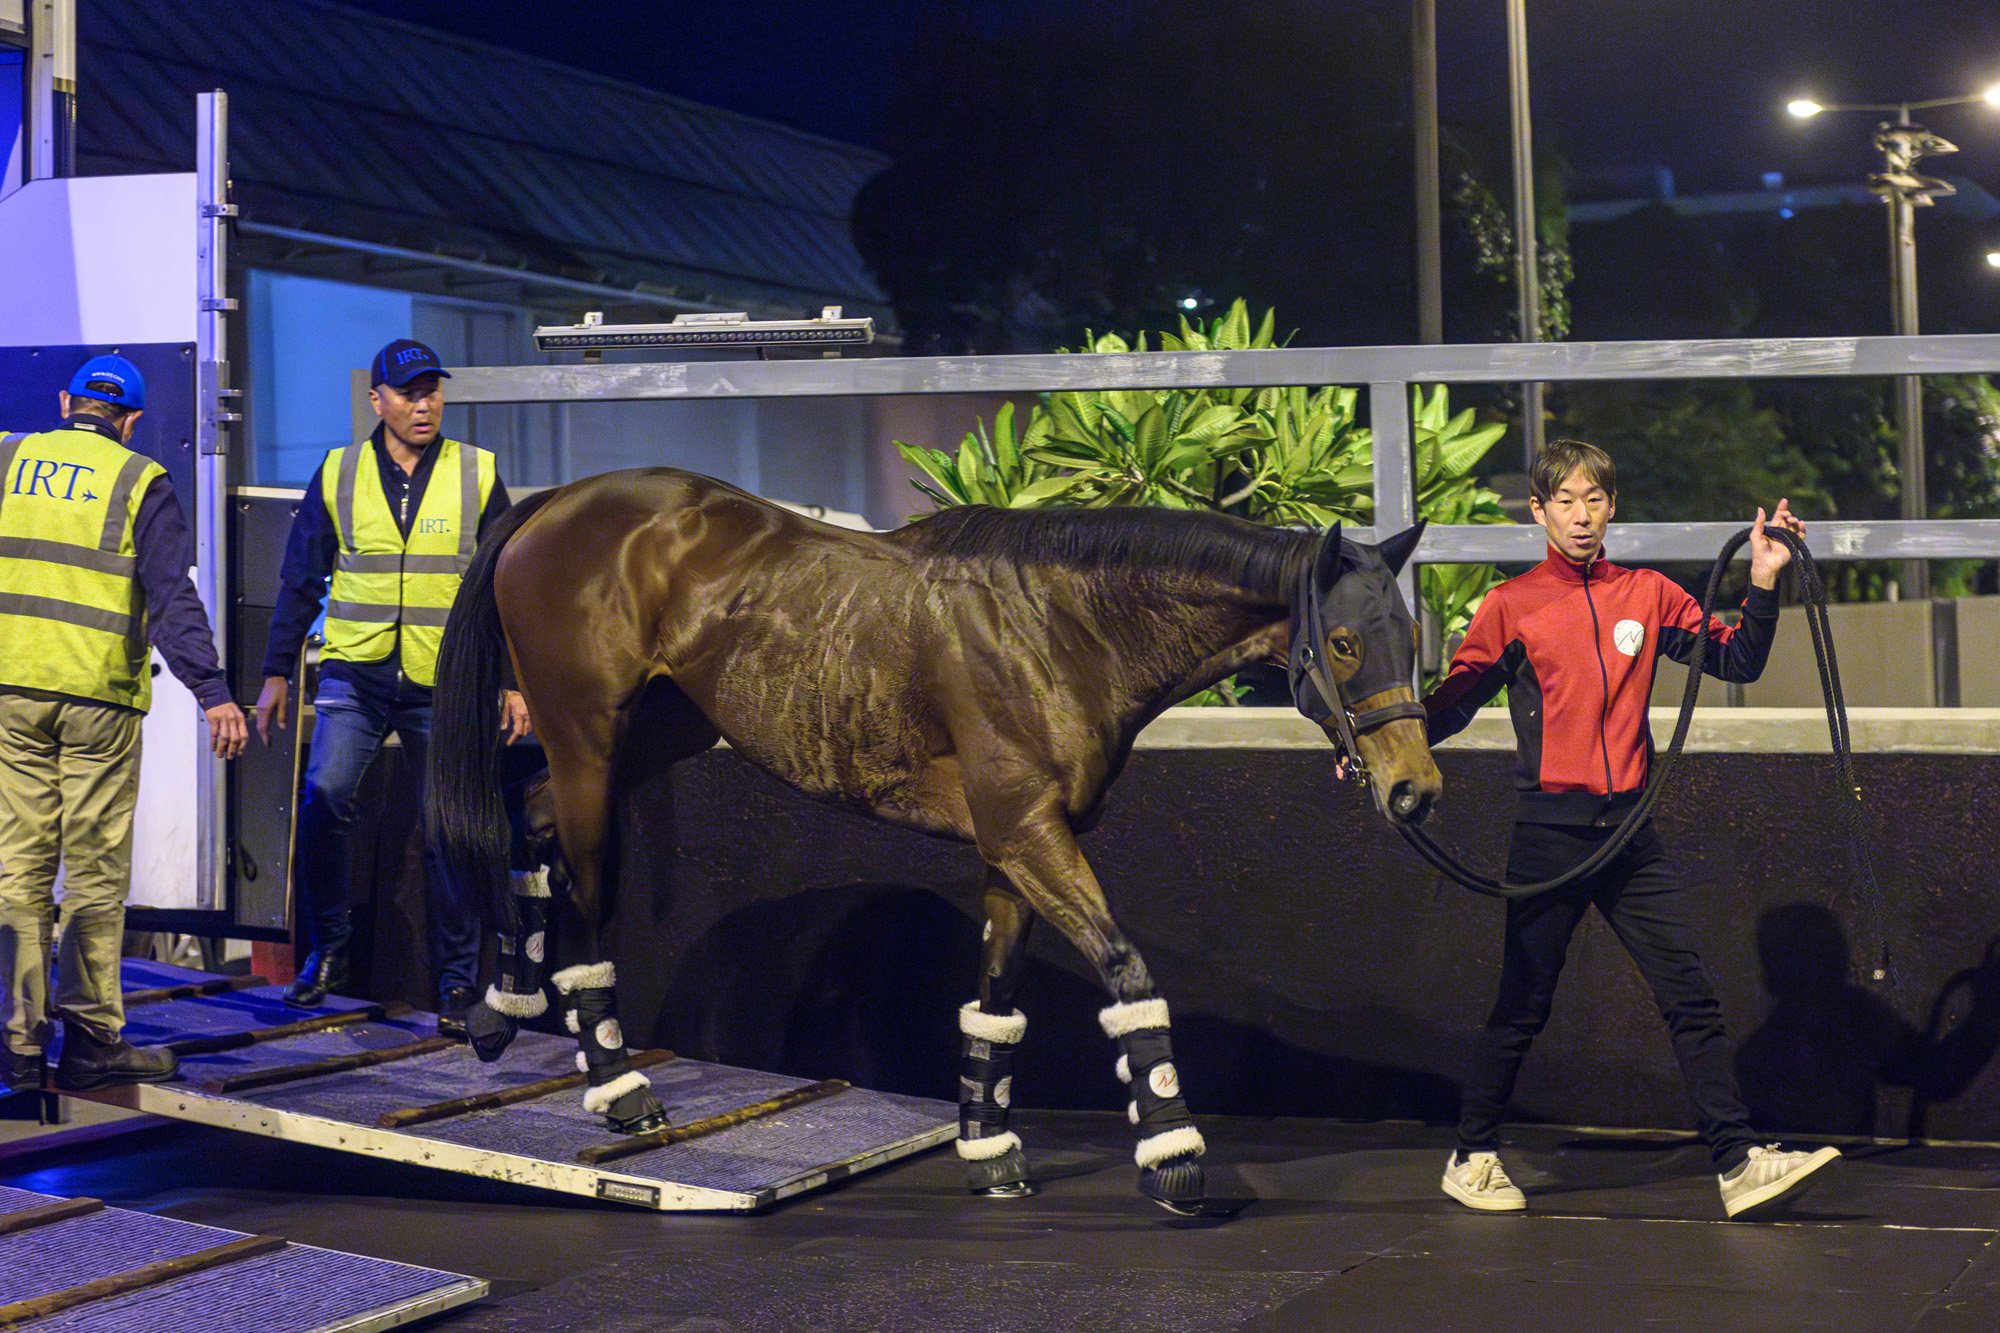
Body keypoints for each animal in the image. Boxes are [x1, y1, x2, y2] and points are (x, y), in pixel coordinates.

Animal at [434, 462, 1440, 1208]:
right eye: (1345, 643)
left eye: (1412, 634)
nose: (1415, 790)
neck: (1061, 629)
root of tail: (556, 502)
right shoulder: (1031, 834)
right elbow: (1125, 968)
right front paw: (1171, 1150)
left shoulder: (1017, 845)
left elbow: (995, 997)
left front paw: (988, 1145)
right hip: (586, 742)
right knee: (586, 887)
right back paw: (615, 1082)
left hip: (655, 733)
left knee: (531, 823)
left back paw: (499, 1007)